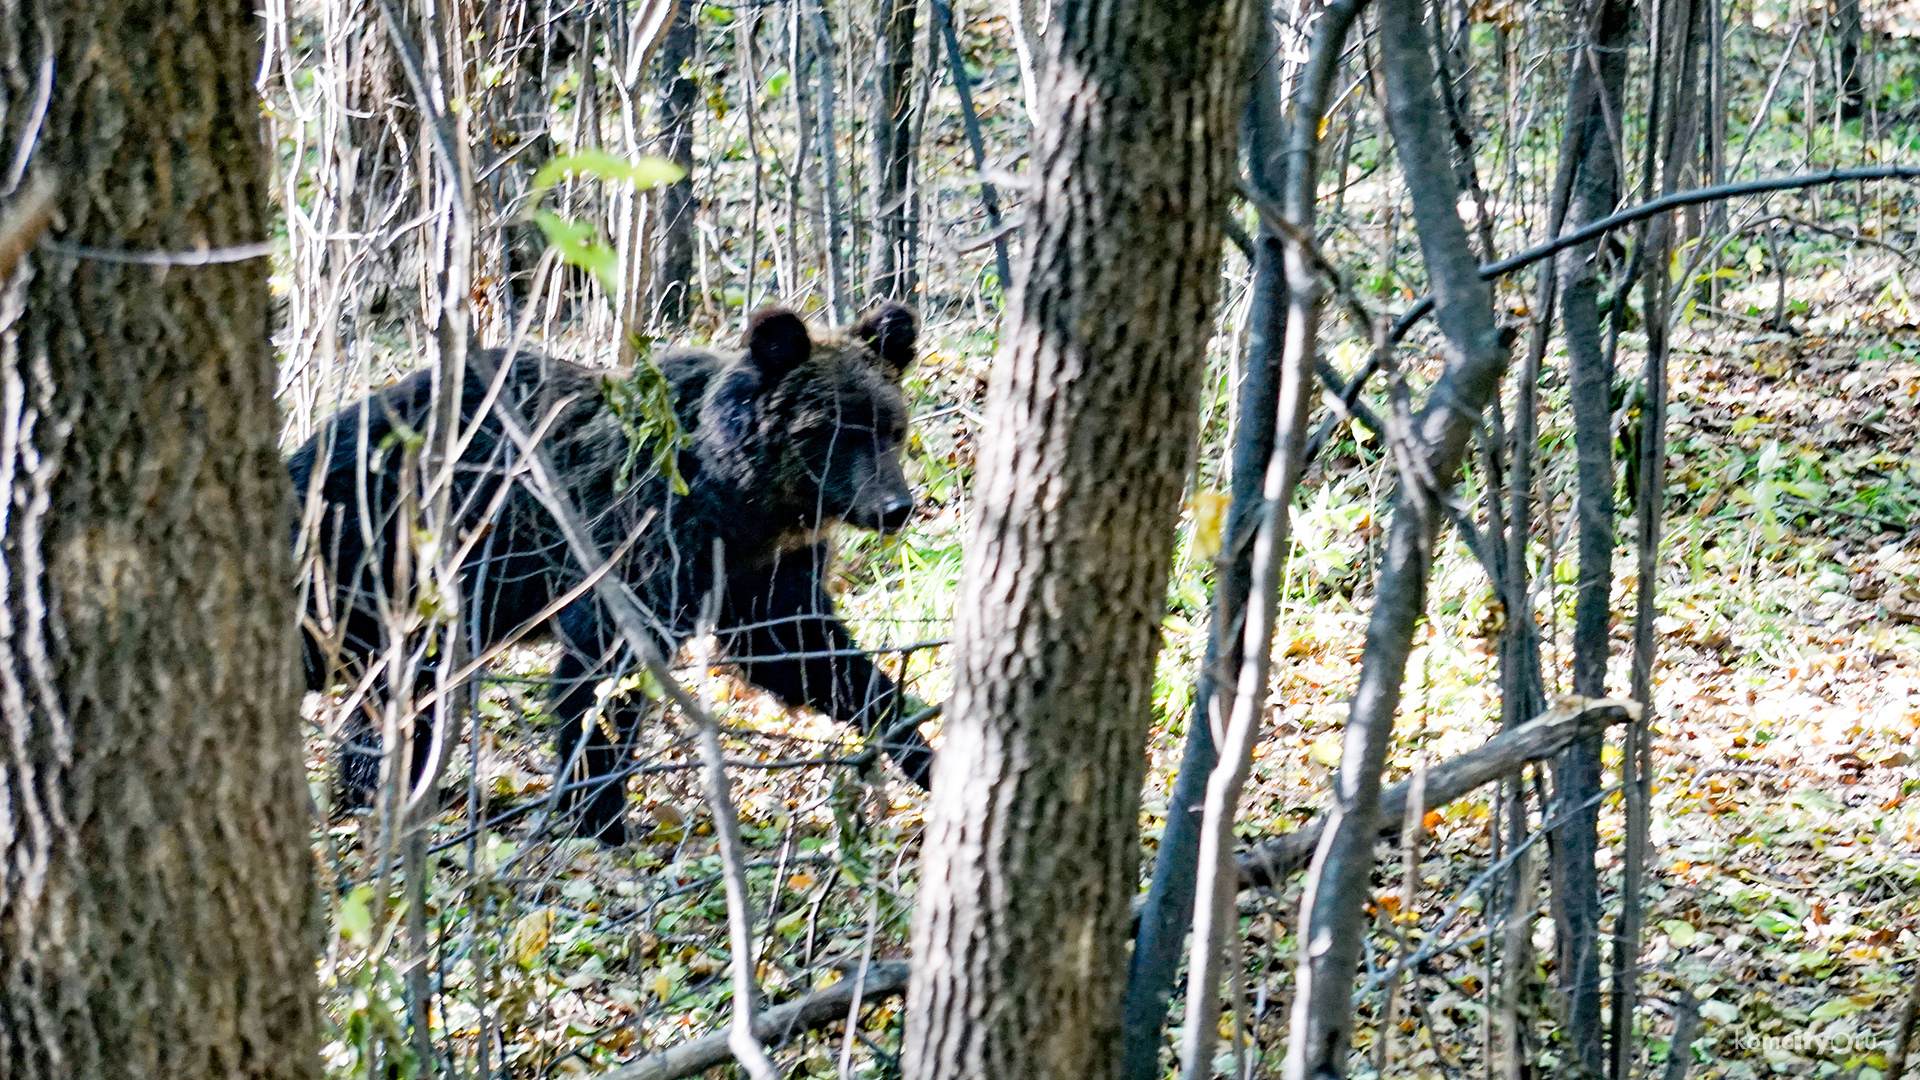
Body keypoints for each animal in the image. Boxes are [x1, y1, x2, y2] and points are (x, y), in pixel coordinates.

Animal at [286, 303, 936, 841]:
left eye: (891, 427)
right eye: (839, 429)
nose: (895, 507)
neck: (740, 502)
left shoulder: (761, 572)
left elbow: (806, 651)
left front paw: (921, 747)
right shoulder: (641, 543)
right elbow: (600, 675)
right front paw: (603, 816)